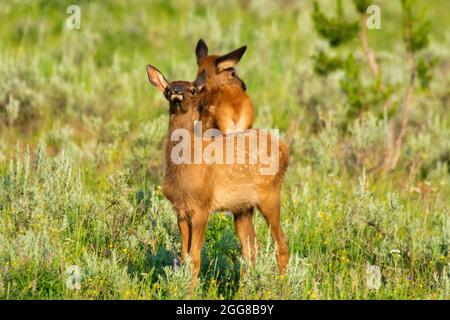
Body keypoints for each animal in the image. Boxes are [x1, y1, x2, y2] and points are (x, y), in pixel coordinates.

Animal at [146, 65, 290, 280]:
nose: (177, 92)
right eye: (168, 88)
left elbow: (194, 258)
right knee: (249, 249)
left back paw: (282, 283)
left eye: (192, 90)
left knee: (281, 242)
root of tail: (284, 148)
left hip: (270, 195)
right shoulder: (180, 210)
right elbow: (183, 256)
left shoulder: (202, 206)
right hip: (243, 207)